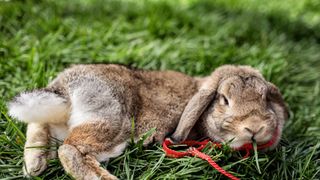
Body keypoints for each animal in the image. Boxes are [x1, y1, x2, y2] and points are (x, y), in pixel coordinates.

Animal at [7, 64, 288, 179]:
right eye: (224, 100)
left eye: (265, 98)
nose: (255, 128)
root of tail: (66, 89)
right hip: (113, 124)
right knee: (71, 149)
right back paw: (106, 179)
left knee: (38, 126)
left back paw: (34, 164)